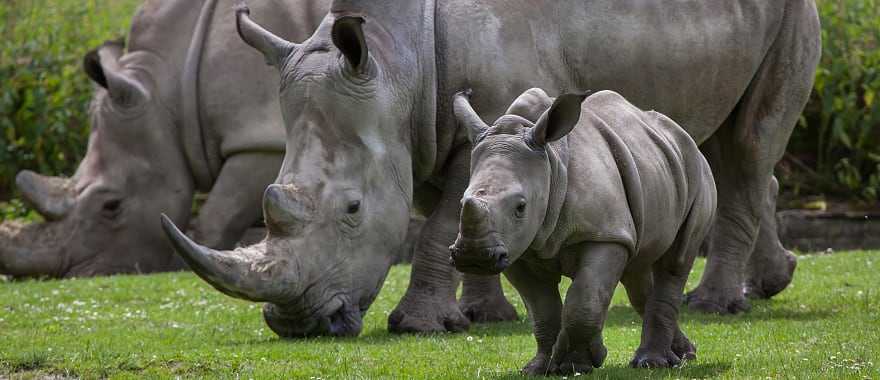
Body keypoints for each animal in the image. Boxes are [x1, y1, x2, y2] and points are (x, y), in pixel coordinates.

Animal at [450, 88, 720, 374]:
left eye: (521, 207)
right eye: (461, 202)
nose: (474, 257)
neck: (551, 163)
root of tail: (685, 138)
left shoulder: (606, 234)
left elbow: (585, 300)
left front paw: (575, 364)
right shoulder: (515, 248)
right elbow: (541, 308)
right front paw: (539, 368)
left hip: (698, 171)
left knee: (675, 260)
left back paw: (652, 363)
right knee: (638, 270)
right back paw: (684, 354)